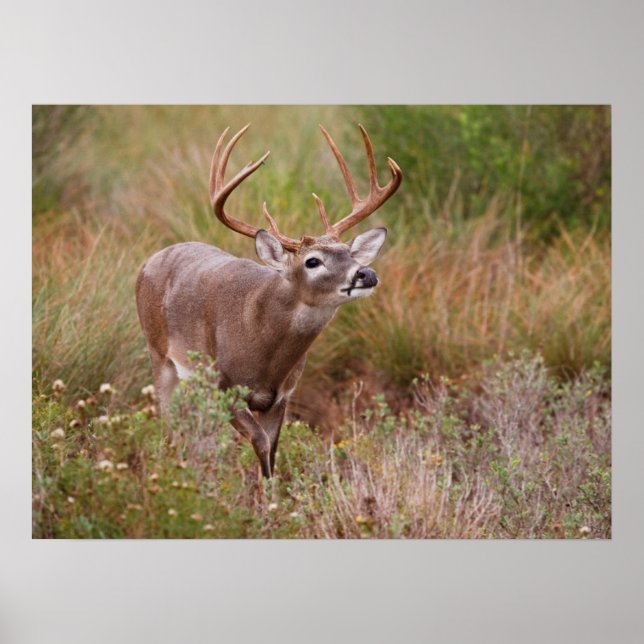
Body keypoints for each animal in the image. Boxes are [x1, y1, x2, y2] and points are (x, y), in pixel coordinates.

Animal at [135, 123, 402, 478]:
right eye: (312, 261)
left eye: (349, 253)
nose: (366, 274)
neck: (263, 347)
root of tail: (152, 258)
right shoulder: (225, 387)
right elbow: (260, 443)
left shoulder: (283, 395)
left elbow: (272, 451)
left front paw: (271, 490)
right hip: (158, 353)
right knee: (167, 423)